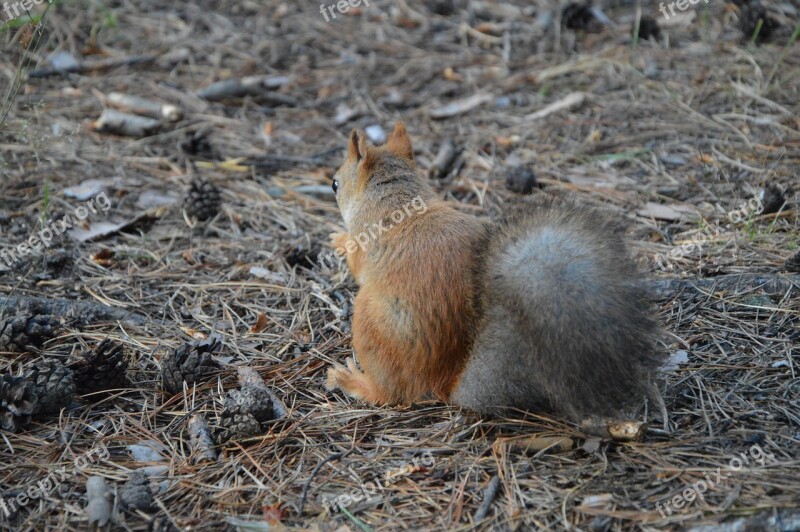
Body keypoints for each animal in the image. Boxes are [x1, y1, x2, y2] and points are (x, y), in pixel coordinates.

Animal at [324, 121, 664, 424]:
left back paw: (352, 380)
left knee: (391, 394)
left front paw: (339, 240)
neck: (399, 201)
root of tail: (448, 380)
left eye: (335, 184)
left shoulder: (364, 244)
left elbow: (355, 262)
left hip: (369, 321)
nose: (332, 183)